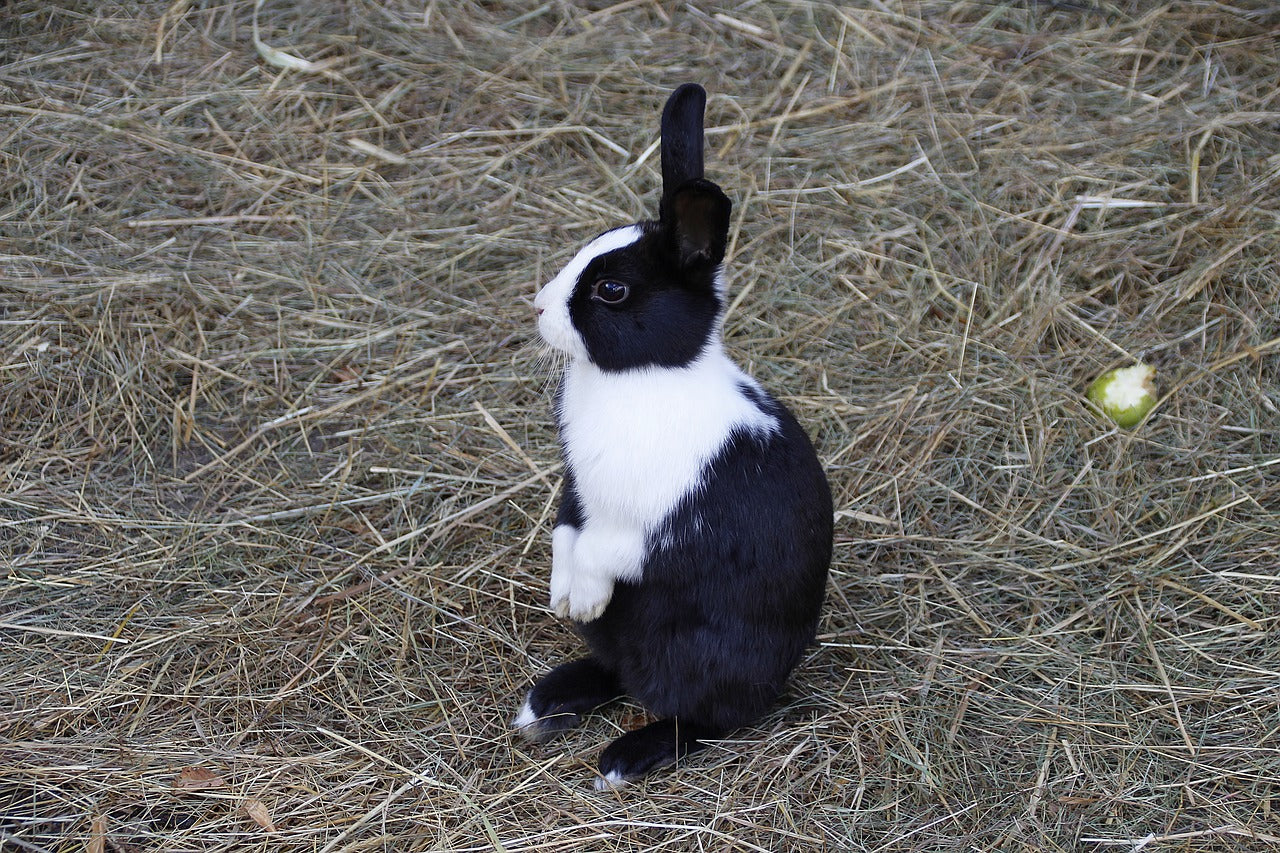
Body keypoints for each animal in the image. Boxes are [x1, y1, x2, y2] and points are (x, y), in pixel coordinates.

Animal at [514, 83, 833, 789]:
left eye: (611, 289)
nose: (539, 308)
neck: (646, 375)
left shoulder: (656, 526)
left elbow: (604, 552)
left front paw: (580, 598)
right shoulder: (578, 492)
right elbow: (566, 533)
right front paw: (563, 598)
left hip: (707, 661)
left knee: (705, 717)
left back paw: (626, 756)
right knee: (618, 674)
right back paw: (548, 700)